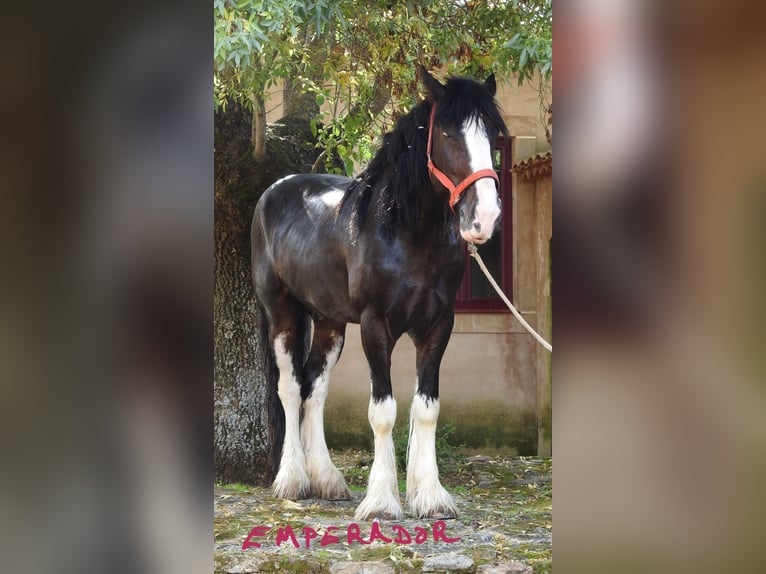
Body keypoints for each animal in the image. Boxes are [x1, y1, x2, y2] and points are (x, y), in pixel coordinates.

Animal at [249, 66, 508, 520]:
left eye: (493, 135)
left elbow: (426, 408)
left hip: (329, 322)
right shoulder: (376, 326)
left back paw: (327, 479)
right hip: (281, 313)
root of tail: (275, 190)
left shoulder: (438, 326)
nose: (484, 217)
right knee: (290, 387)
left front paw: (430, 496)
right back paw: (293, 479)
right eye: (446, 133)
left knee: (315, 387)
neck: (408, 235)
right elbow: (383, 411)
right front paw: (383, 501)